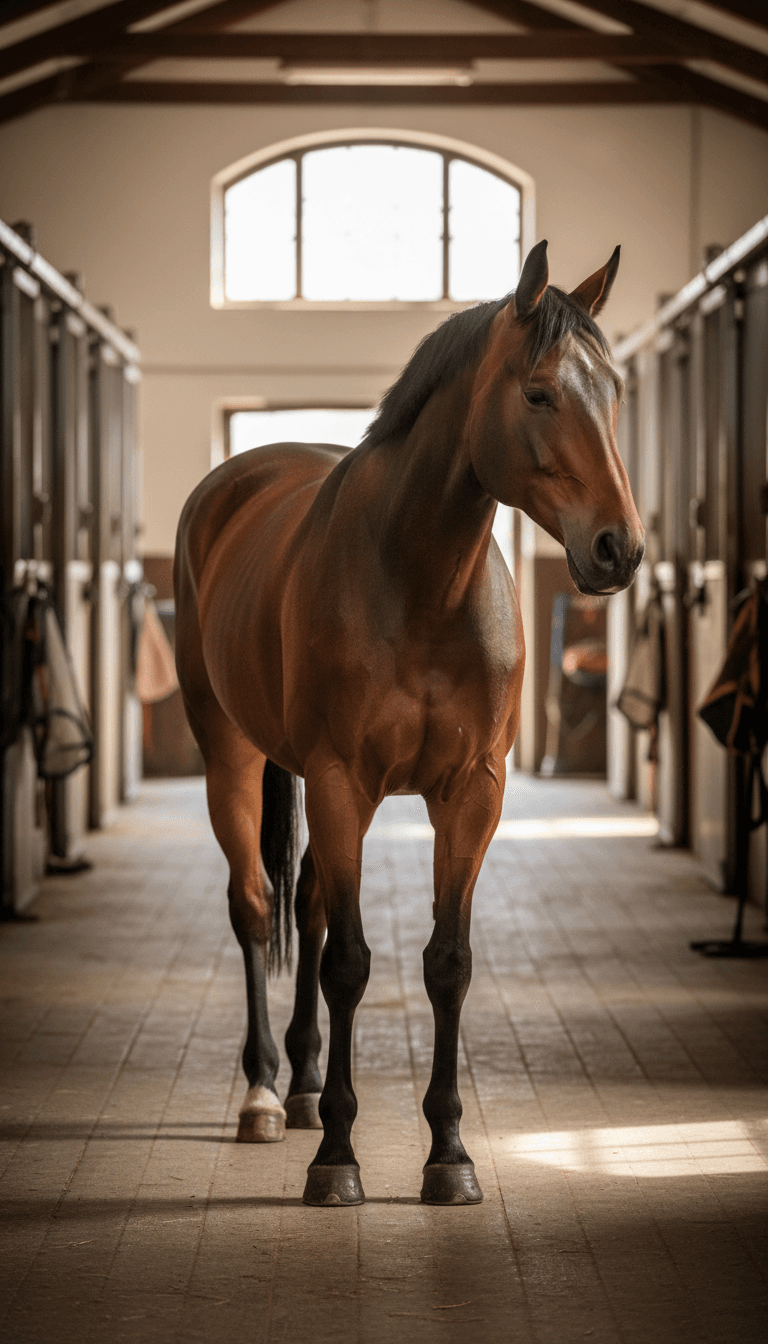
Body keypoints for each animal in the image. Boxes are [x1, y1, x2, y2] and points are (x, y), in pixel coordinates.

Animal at [174, 240, 644, 1207]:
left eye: (615, 390)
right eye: (538, 394)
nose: (618, 549)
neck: (421, 581)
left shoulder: (473, 795)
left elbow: (445, 962)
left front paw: (448, 1153)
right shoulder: (343, 783)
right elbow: (351, 963)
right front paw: (339, 1158)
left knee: (307, 903)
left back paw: (304, 1086)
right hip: (231, 754)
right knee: (257, 906)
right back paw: (264, 1093)